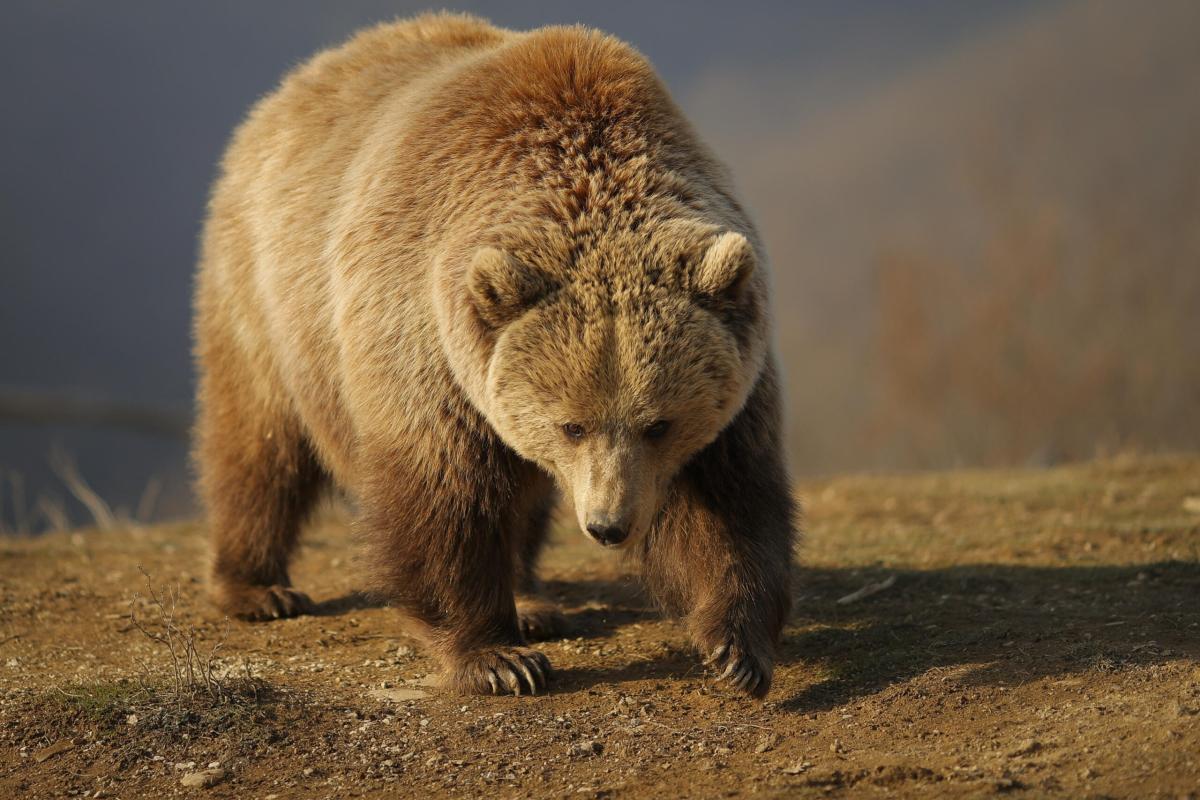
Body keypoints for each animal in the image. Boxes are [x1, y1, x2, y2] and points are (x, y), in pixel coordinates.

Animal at [194, 15, 796, 695]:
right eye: (572, 424)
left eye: (660, 423)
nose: (608, 524)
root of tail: (302, 80)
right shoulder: (429, 343)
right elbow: (442, 490)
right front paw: (499, 659)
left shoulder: (733, 381)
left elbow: (730, 498)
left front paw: (737, 650)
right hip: (268, 296)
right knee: (260, 441)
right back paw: (257, 587)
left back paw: (533, 602)